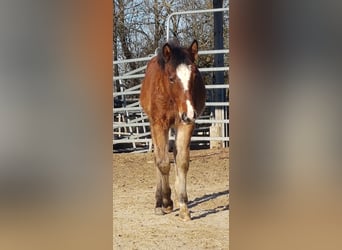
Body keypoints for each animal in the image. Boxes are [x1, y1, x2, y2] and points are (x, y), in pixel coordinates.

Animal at [140, 39, 204, 221]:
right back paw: (158, 202)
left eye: (194, 75)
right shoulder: (159, 124)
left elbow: (181, 161)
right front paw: (167, 202)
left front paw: (183, 205)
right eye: (171, 78)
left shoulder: (185, 124)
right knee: (157, 157)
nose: (189, 113)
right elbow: (163, 163)